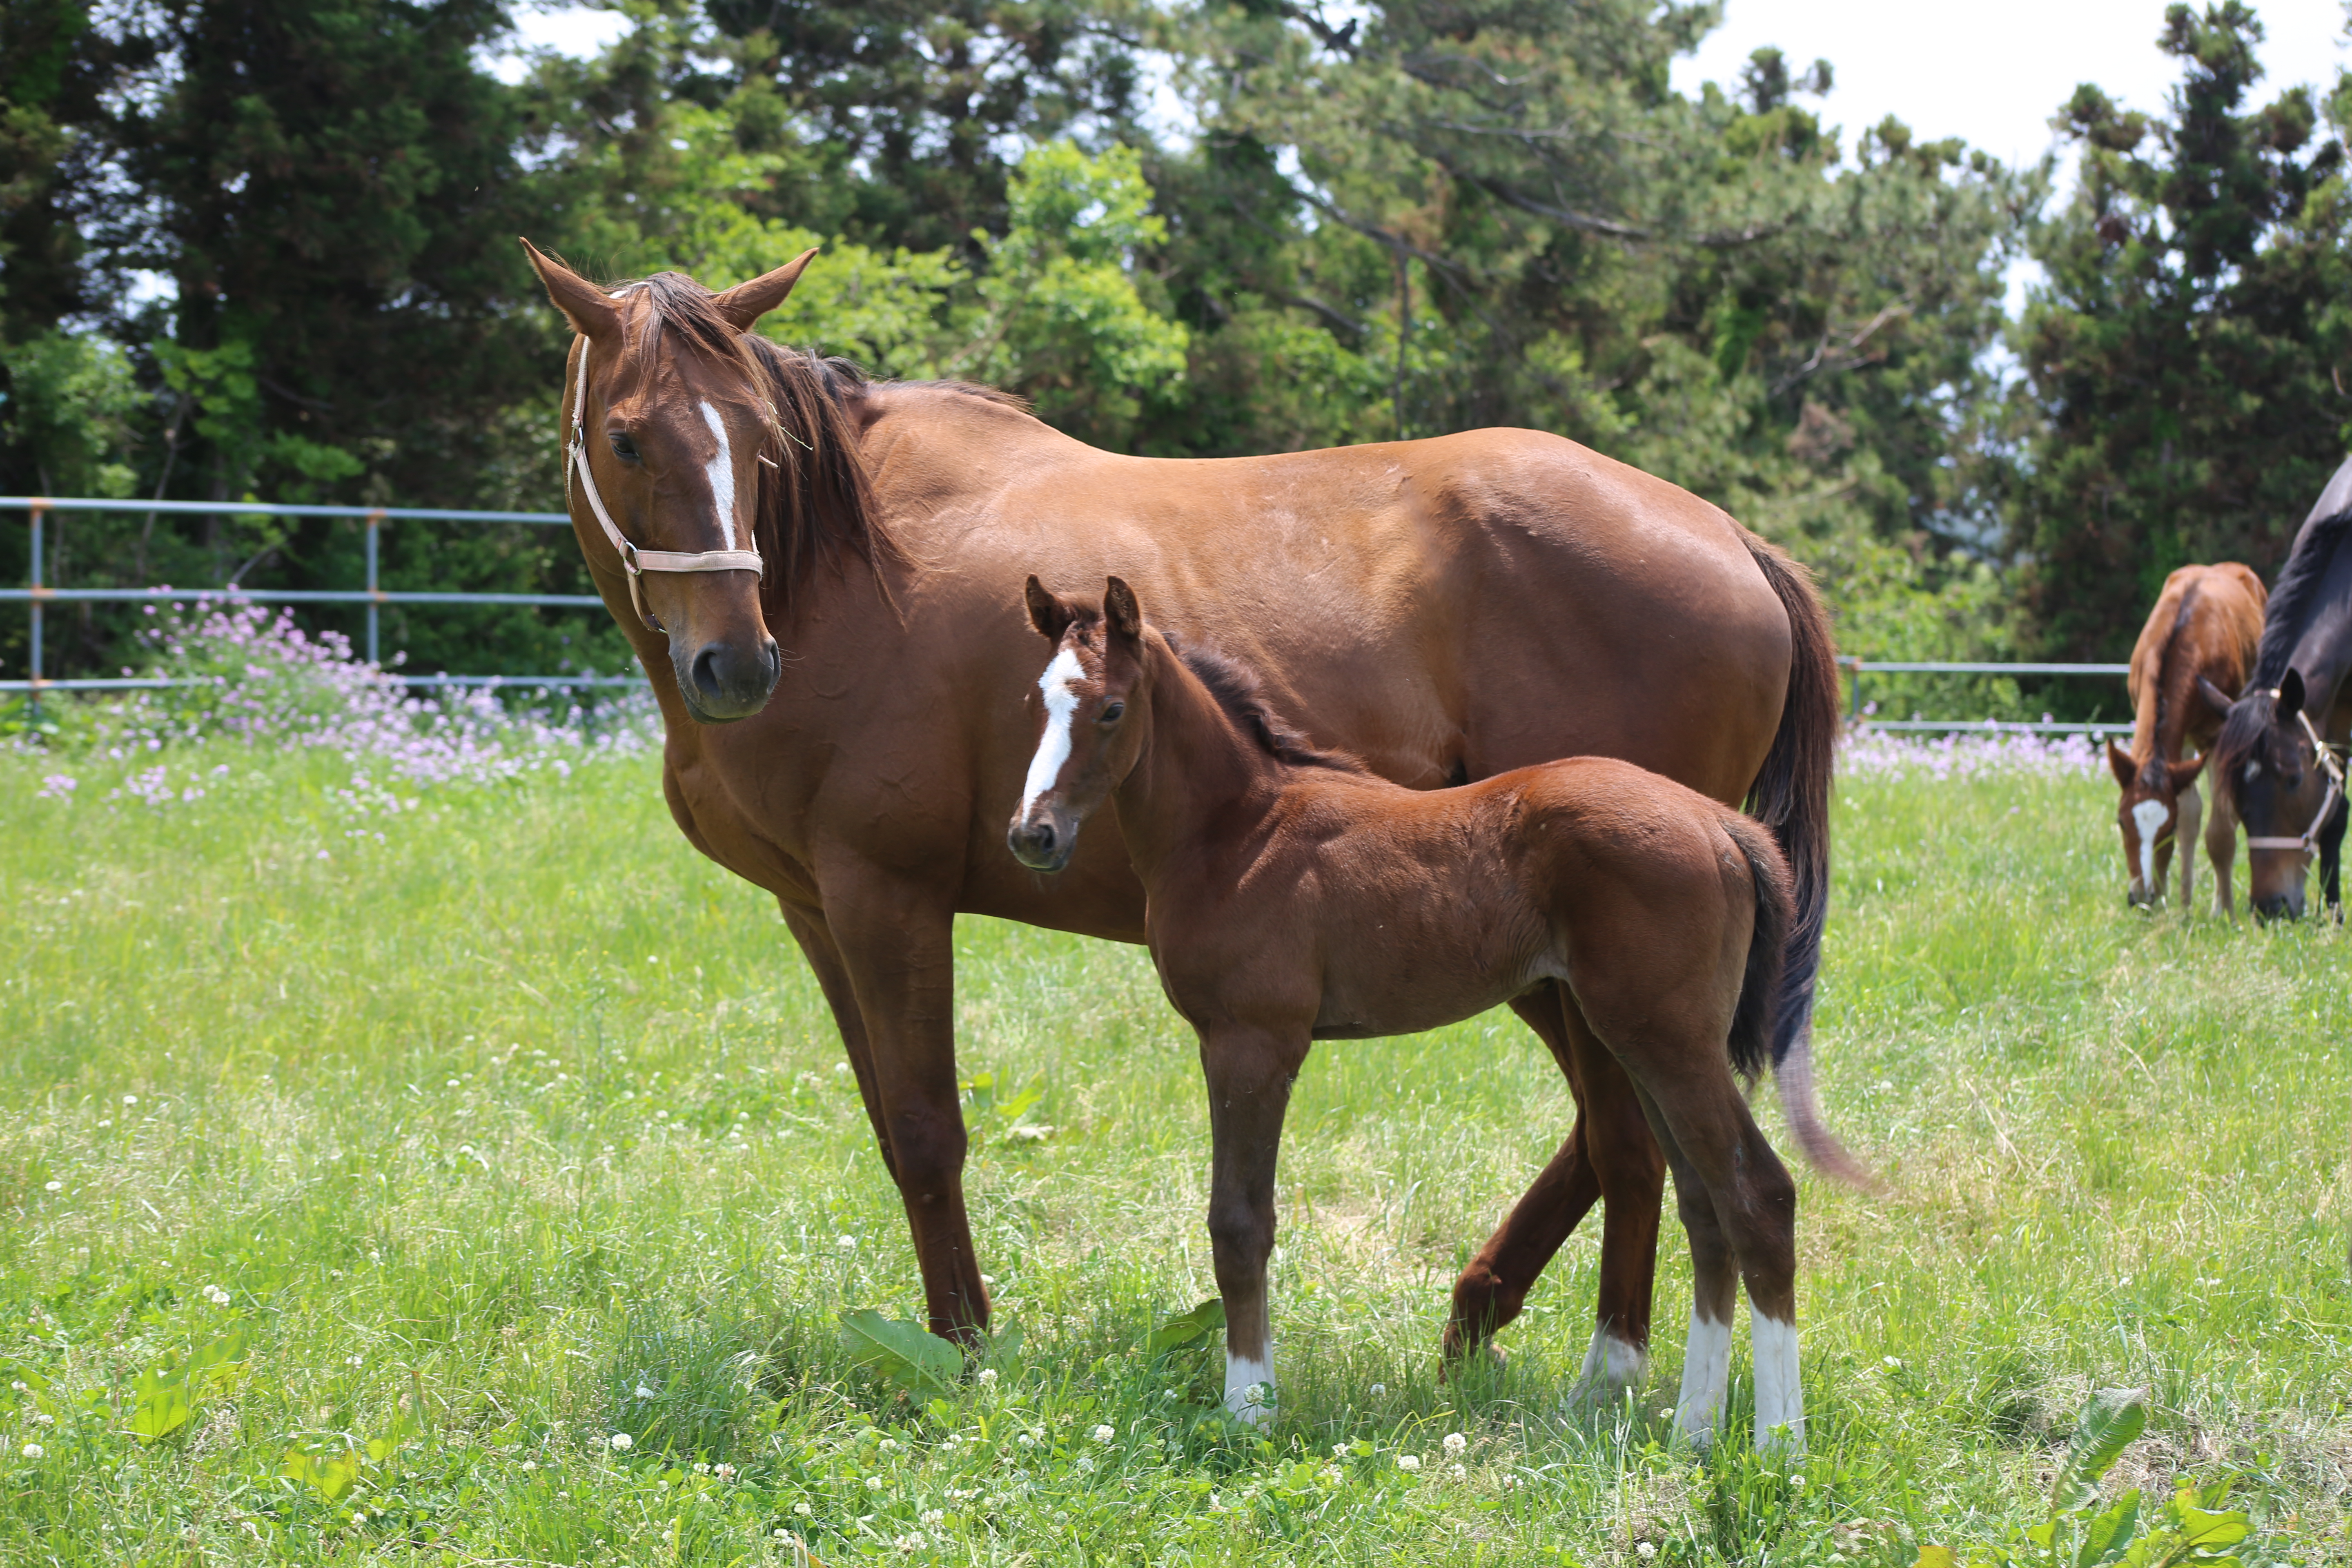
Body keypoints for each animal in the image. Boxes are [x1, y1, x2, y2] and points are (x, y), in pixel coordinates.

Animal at [1007, 581, 1797, 1457]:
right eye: (1040, 702)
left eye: (1111, 709)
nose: (1033, 834)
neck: (1236, 832)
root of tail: (1718, 824)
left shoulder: (1251, 1043)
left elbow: (1240, 1223)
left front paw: (1251, 1409)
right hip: (1643, 1040)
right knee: (1705, 1202)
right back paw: (1694, 1430)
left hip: (1666, 1040)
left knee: (1758, 1196)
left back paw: (1777, 1445)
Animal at [2107, 564, 2267, 912]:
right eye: (2122, 822)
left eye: (2167, 829)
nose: (2141, 897)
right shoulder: (2174, 743)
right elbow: (2189, 815)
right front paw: (2171, 899)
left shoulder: (2218, 737)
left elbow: (2219, 831)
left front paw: (2225, 911)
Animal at [2201, 454, 2352, 921]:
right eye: (2238, 790)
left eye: (2292, 780)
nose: (2271, 907)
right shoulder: (2332, 720)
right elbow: (2336, 814)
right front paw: (2333, 912)